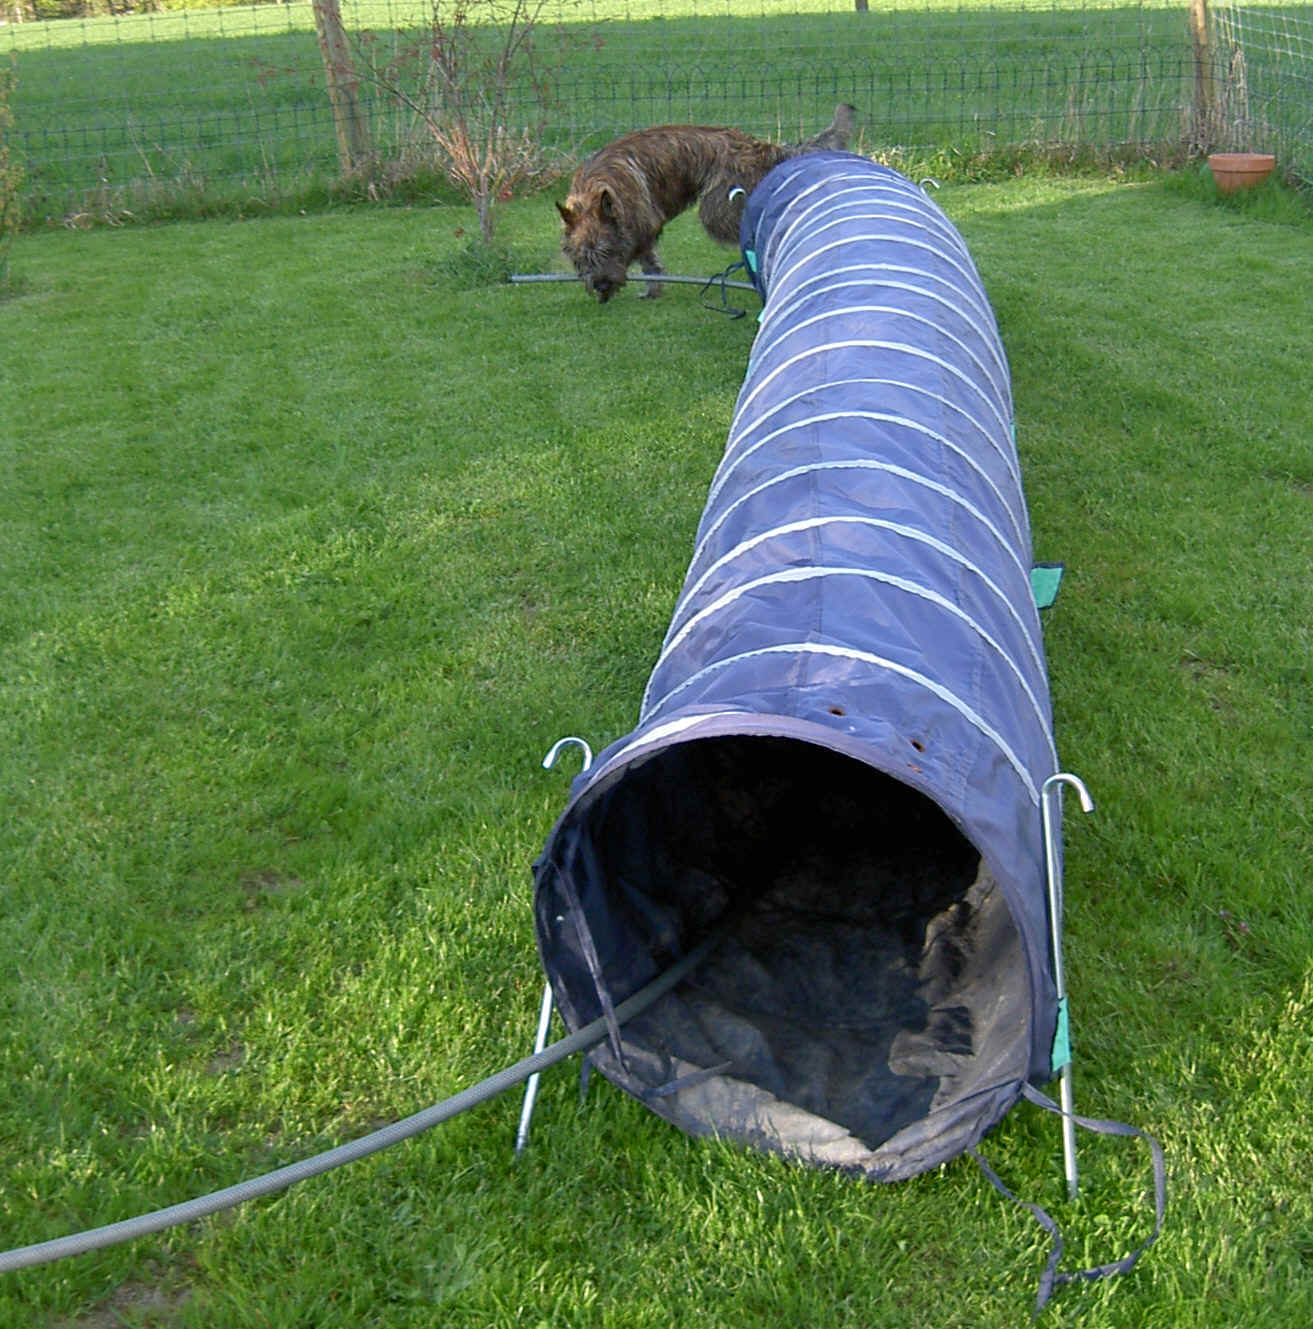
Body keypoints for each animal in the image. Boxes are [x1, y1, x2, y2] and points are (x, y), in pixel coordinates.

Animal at [555, 104, 855, 303]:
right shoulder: (640, 232)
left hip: (716, 210)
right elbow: (650, 261)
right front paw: (652, 290)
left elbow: (648, 260)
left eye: (607, 251)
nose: (601, 287)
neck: (595, 188)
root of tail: (760, 146)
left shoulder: (643, 224)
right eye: (580, 258)